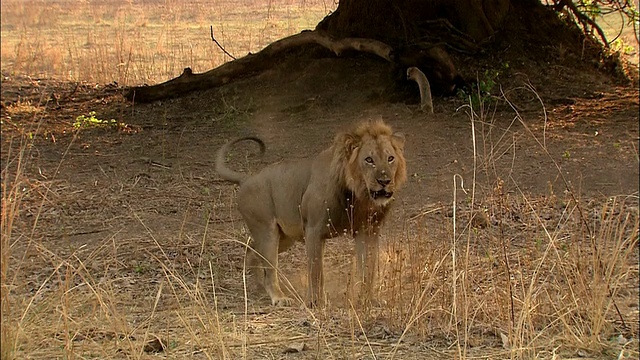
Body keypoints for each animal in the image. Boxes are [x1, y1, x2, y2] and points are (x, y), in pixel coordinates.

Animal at [215, 119, 404, 306]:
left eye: (390, 158)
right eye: (369, 160)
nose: (384, 181)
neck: (359, 195)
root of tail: (247, 178)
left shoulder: (368, 230)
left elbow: (368, 268)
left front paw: (369, 300)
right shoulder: (314, 229)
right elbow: (316, 271)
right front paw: (315, 302)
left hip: (285, 237)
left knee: (252, 252)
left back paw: (258, 288)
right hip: (267, 231)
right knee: (268, 265)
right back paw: (278, 297)